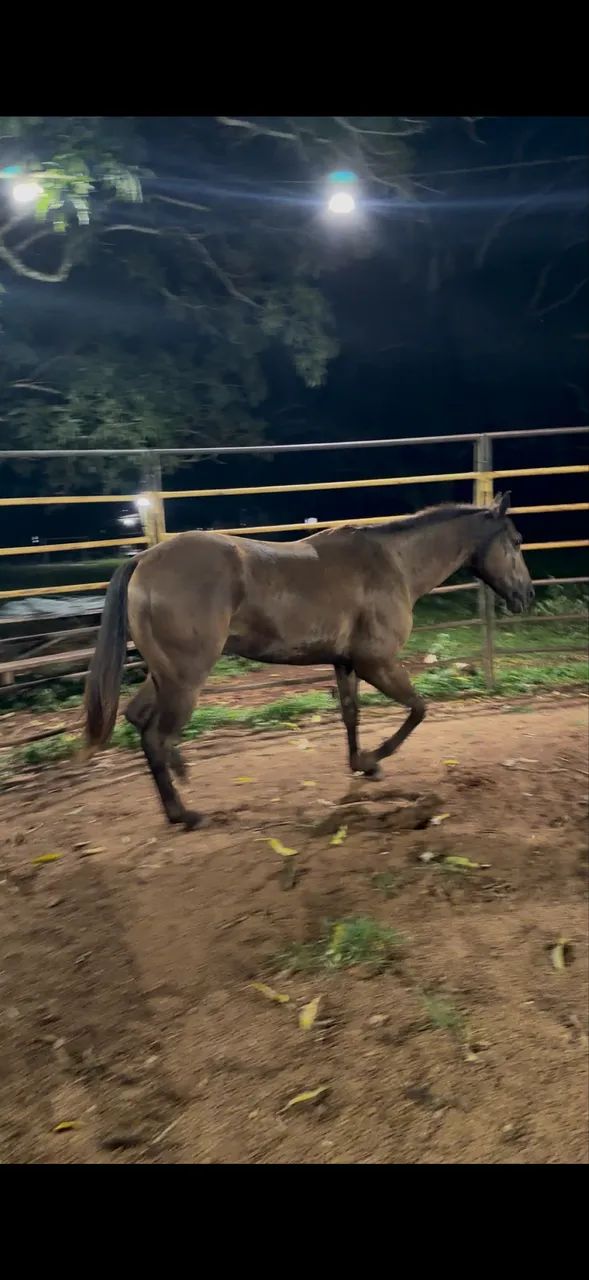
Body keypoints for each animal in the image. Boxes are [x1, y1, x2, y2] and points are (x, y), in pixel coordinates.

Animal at [83, 491, 534, 829]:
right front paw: (375, 758)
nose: (526, 596)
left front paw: (361, 764)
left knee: (139, 720)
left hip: (166, 675)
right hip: (186, 678)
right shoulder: (377, 662)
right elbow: (419, 709)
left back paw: (181, 777)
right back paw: (184, 813)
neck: (393, 563)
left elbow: (351, 714)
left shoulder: (346, 662)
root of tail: (142, 560)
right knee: (156, 735)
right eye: (515, 541)